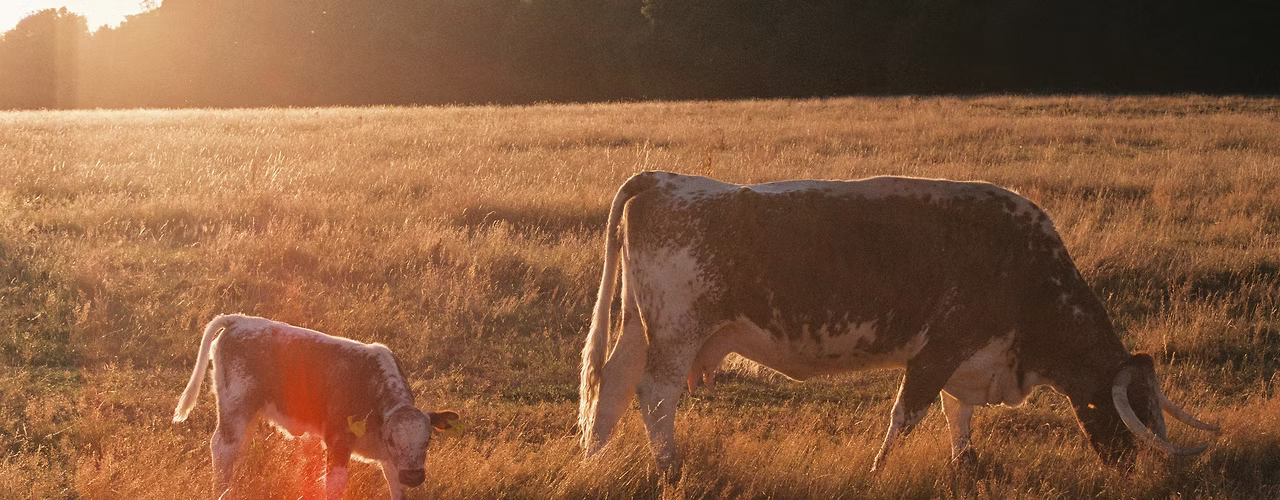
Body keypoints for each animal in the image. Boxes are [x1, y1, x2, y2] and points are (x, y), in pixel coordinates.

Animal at [173, 314, 459, 500]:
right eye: (392, 439)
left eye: (427, 440)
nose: (414, 476)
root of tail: (239, 320)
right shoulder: (337, 442)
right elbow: (335, 484)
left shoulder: (391, 462)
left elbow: (395, 487)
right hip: (236, 407)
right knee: (223, 448)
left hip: (248, 413)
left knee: (237, 450)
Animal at [578, 171, 1217, 476]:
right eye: (1130, 412)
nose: (1137, 471)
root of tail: (662, 178)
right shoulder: (938, 350)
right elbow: (905, 419)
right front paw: (877, 472)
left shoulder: (969, 358)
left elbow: (958, 418)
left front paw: (964, 466)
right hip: (676, 335)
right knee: (656, 397)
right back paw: (669, 471)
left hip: (639, 330)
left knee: (611, 392)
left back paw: (595, 462)